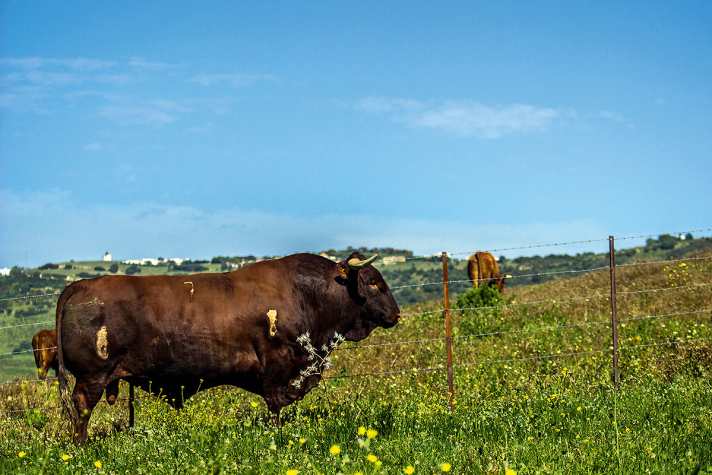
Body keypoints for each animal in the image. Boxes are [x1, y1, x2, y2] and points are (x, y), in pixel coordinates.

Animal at [57, 252, 400, 443]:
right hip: (92, 377)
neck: (306, 294)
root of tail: (79, 286)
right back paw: (82, 445)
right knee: (82, 409)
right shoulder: (277, 367)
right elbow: (274, 406)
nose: (396, 314)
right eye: (372, 281)